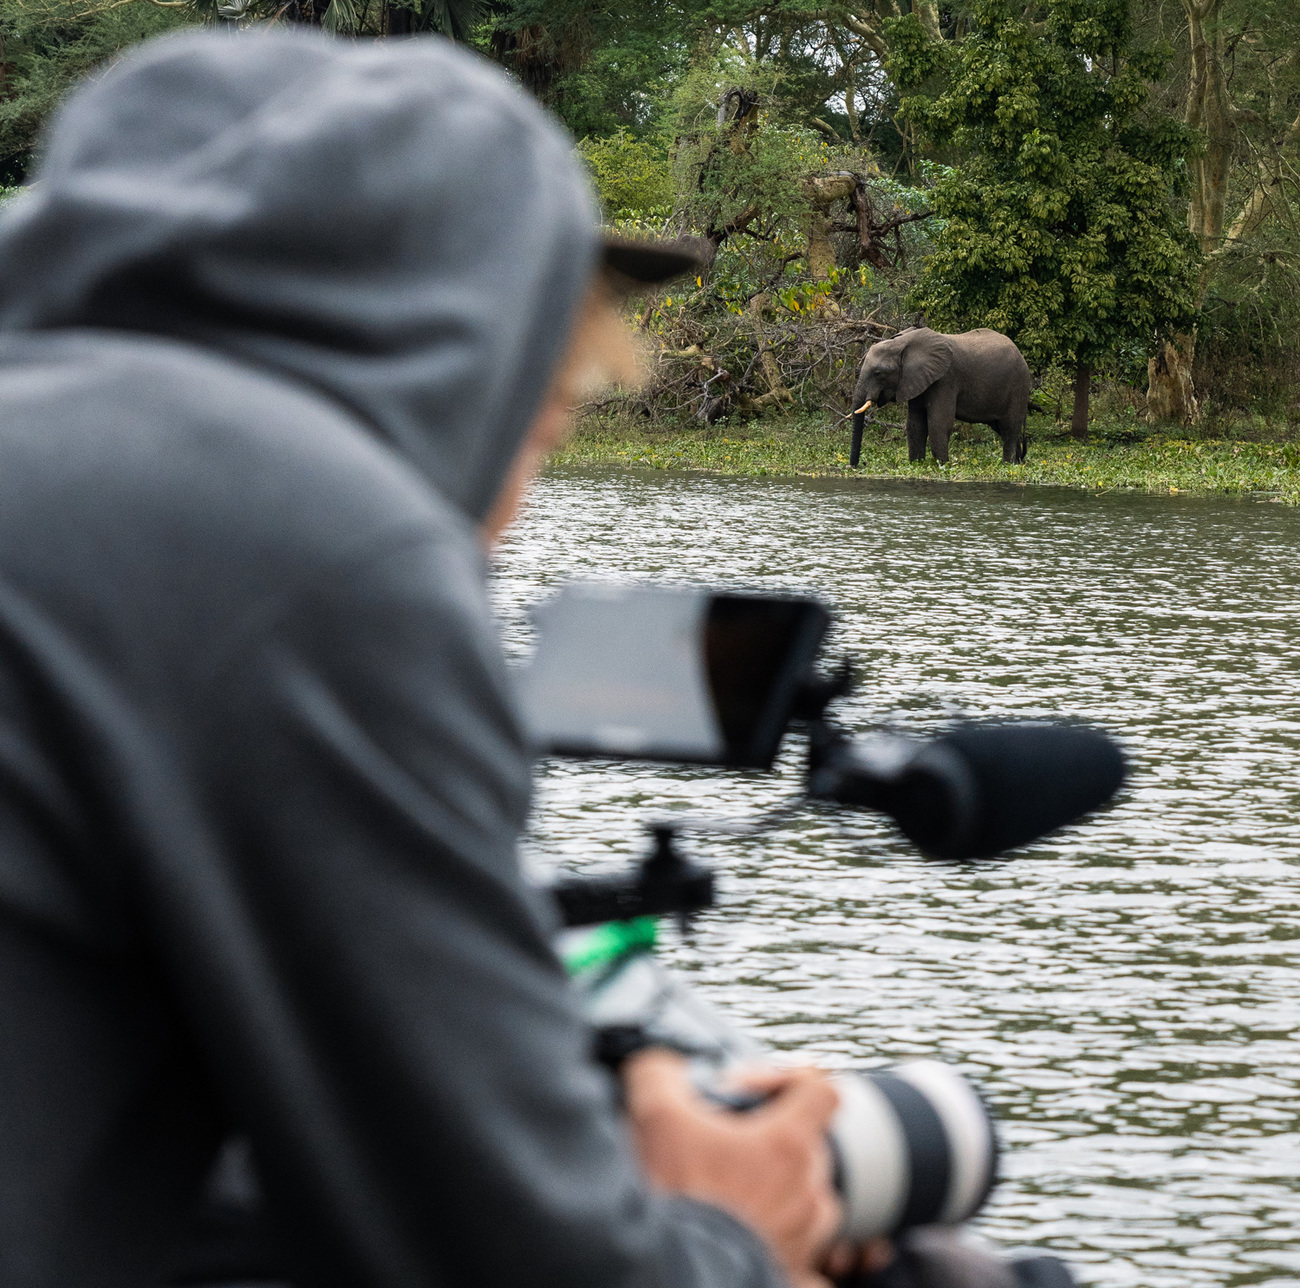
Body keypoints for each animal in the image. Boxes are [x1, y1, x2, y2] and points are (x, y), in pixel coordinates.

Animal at [847, 327, 1029, 467]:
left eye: (878, 373)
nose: (856, 466)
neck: (903, 343)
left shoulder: (945, 379)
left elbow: (938, 423)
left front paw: (942, 466)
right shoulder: (916, 380)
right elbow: (915, 425)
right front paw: (917, 464)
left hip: (1017, 387)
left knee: (1009, 427)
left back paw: (1008, 464)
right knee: (1001, 428)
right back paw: (1018, 462)